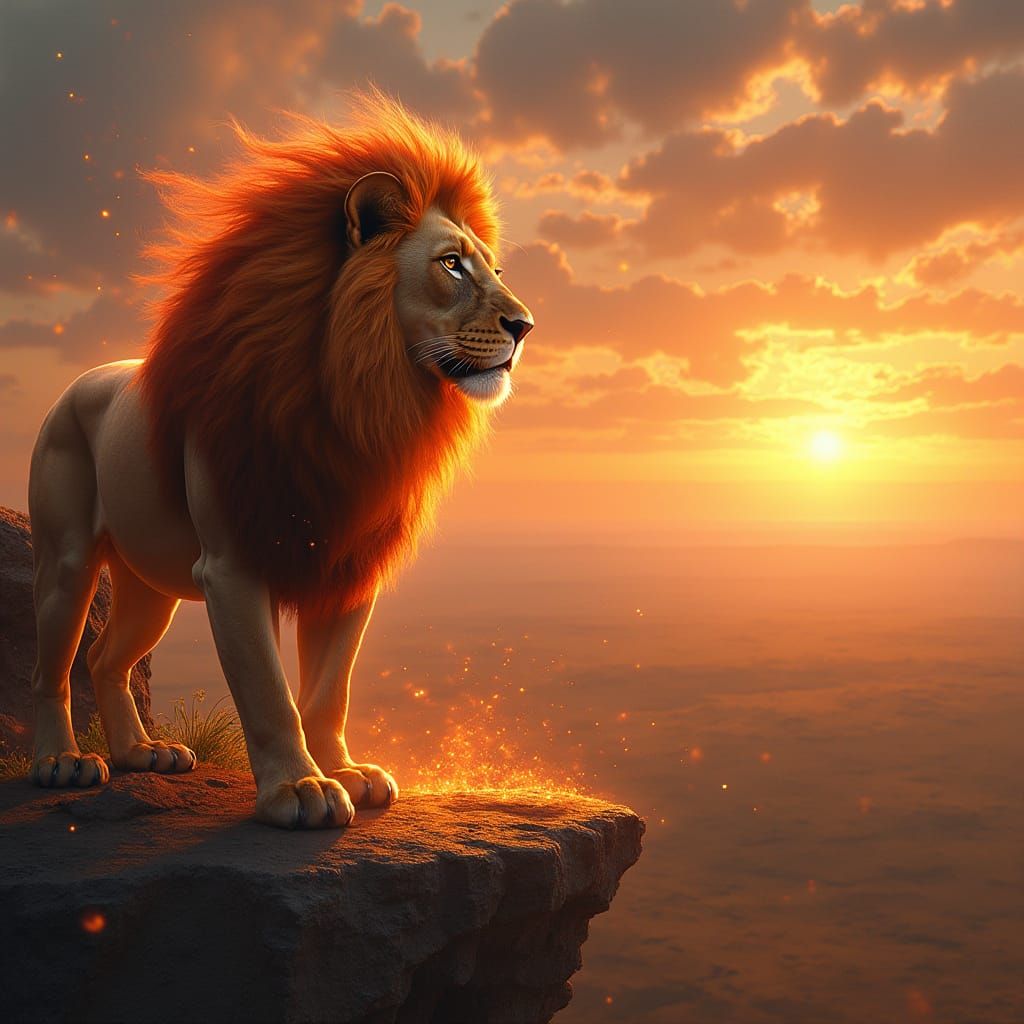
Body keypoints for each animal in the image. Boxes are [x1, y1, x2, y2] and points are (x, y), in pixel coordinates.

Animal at [27, 93, 533, 829]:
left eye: (494, 270)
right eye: (451, 265)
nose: (526, 326)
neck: (356, 399)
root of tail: (80, 381)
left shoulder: (348, 564)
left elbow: (328, 689)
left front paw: (346, 772)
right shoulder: (235, 564)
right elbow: (268, 691)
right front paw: (298, 789)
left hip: (151, 583)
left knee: (104, 658)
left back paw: (142, 754)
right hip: (66, 563)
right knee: (53, 667)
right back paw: (61, 762)